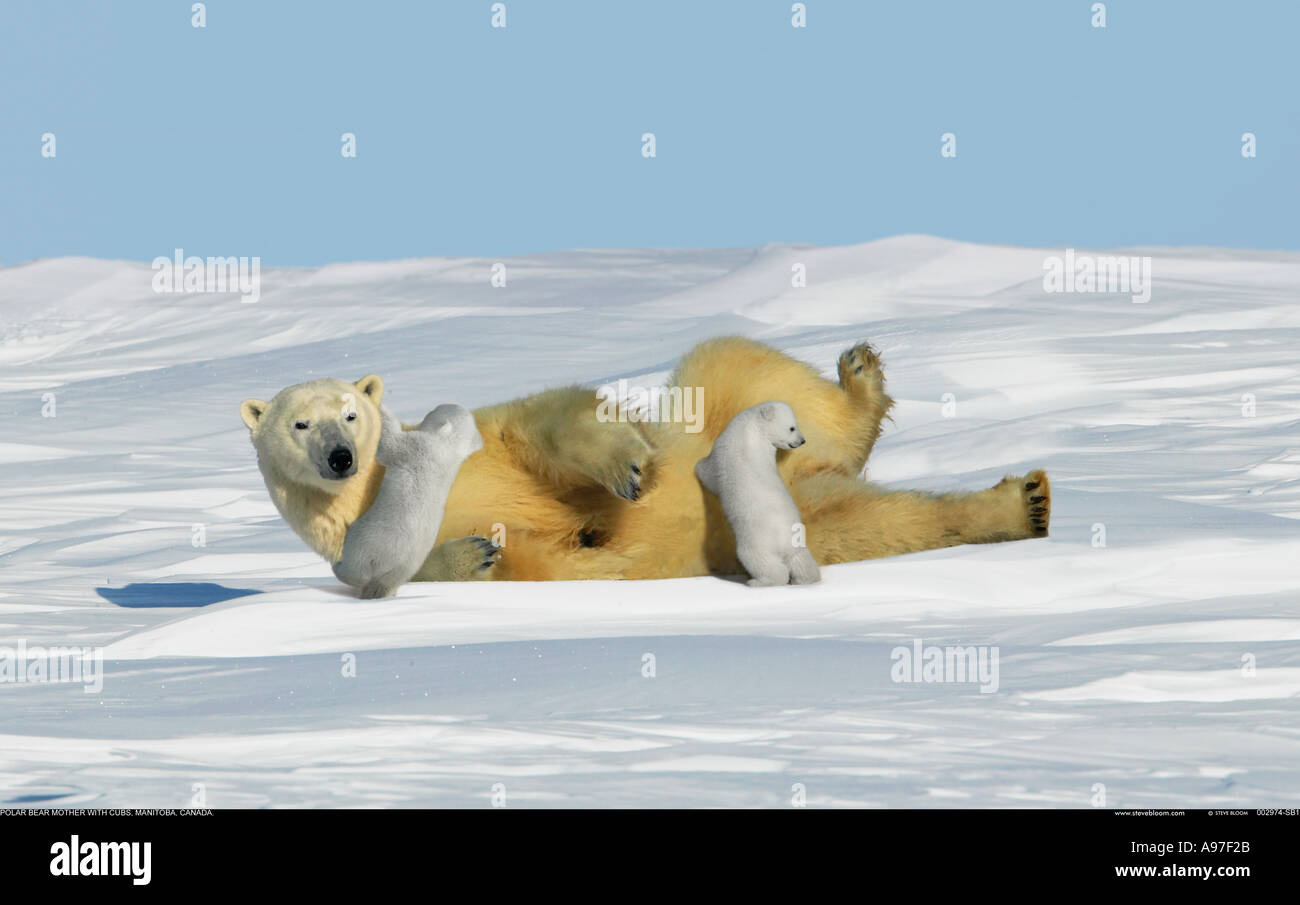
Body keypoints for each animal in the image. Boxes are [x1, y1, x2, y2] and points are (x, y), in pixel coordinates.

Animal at [332, 403, 485, 599]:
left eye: (434, 410)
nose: (426, 412)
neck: (447, 448)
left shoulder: (417, 446)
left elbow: (389, 445)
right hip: (405, 567)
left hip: (367, 540)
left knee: (355, 566)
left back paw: (338, 567)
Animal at [695, 401, 822, 587]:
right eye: (793, 427)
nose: (802, 441)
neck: (754, 428)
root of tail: (784, 539)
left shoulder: (724, 451)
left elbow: (711, 473)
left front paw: (698, 466)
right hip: (796, 539)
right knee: (800, 558)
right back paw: (805, 579)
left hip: (756, 539)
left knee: (761, 561)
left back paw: (759, 581)